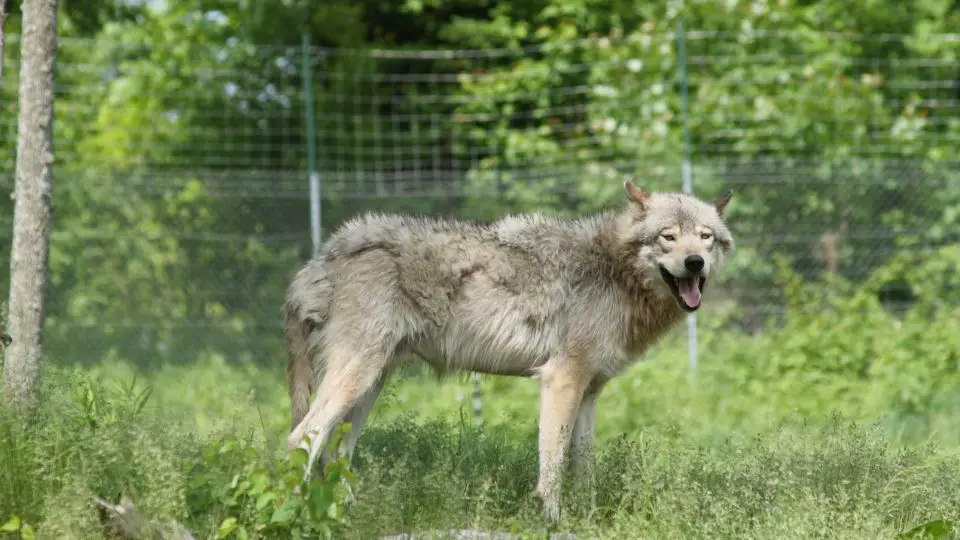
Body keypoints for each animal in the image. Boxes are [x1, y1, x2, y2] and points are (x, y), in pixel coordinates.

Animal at [284, 182, 736, 524]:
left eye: (705, 237)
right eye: (668, 236)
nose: (695, 263)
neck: (613, 271)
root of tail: (323, 256)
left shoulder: (589, 392)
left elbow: (584, 467)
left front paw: (589, 519)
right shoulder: (561, 380)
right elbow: (552, 465)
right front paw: (553, 522)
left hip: (369, 388)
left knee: (337, 453)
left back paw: (348, 516)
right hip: (356, 379)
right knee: (301, 438)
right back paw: (297, 515)